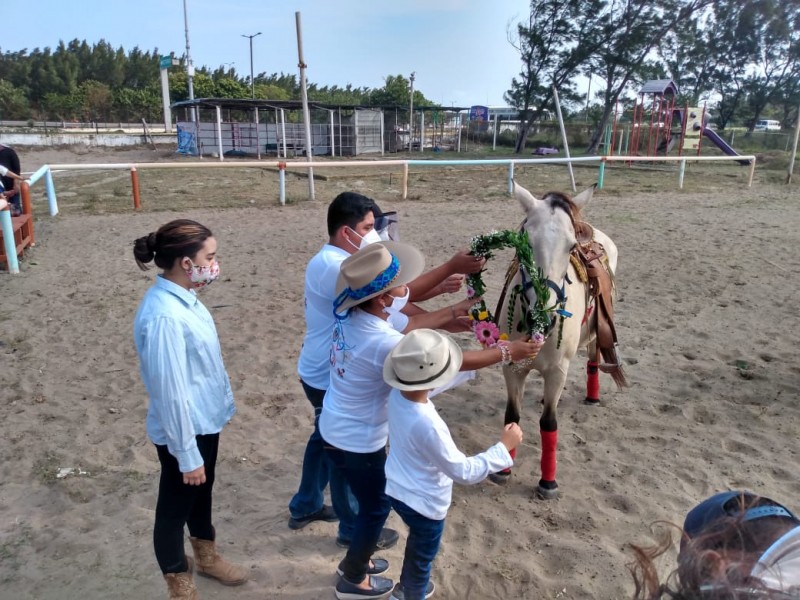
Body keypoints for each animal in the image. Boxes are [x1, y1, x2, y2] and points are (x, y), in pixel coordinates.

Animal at [494, 182, 624, 496]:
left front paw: (547, 482)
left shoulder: (557, 371)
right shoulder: (511, 368)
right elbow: (512, 416)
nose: (544, 316)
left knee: (592, 359)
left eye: (571, 247)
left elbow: (549, 423)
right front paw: (503, 469)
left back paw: (592, 397)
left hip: (595, 333)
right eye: (523, 241)